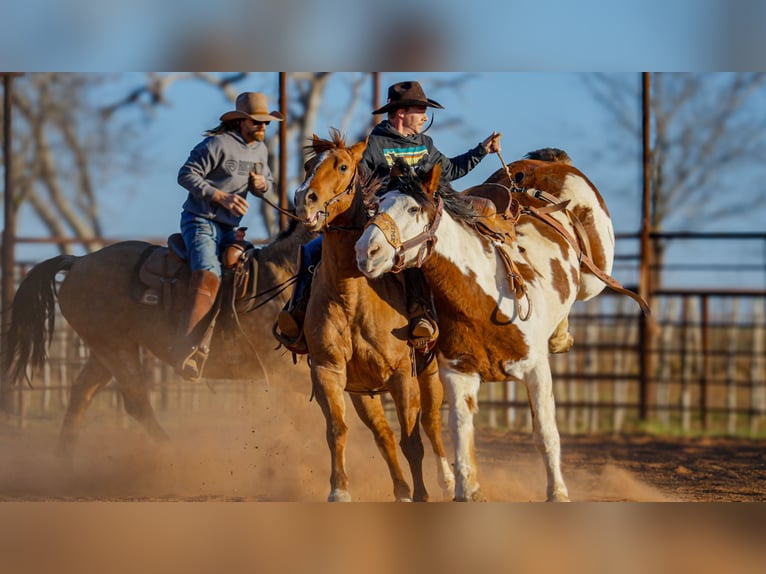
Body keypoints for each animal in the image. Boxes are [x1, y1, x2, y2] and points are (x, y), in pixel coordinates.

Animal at [4, 218, 315, 460]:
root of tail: (78, 262)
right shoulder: (283, 369)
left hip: (104, 350)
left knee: (82, 392)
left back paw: (63, 461)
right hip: (116, 348)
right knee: (135, 401)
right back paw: (173, 455)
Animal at [291, 129, 454, 502]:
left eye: (342, 166)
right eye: (308, 165)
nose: (304, 199)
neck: (351, 298)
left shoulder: (402, 376)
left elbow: (413, 442)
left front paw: (422, 495)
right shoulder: (327, 371)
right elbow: (338, 429)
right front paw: (339, 491)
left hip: (428, 371)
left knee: (431, 423)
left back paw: (447, 479)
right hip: (363, 390)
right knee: (383, 435)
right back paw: (401, 489)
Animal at [355, 150, 638, 501]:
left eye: (413, 208)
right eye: (376, 206)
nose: (366, 251)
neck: (483, 296)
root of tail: (549, 161)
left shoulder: (536, 369)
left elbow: (546, 433)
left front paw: (557, 492)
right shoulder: (458, 372)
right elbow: (461, 431)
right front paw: (467, 490)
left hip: (595, 276)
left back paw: (560, 336)